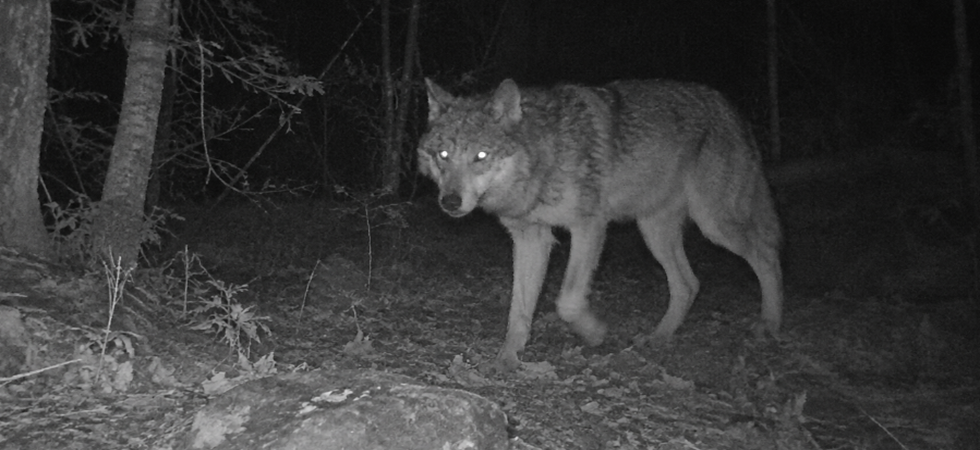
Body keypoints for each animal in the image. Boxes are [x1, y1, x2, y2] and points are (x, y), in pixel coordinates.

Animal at [418, 78, 783, 372]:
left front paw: (596, 333)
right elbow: (518, 310)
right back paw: (658, 337)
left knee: (767, 255)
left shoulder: (589, 227)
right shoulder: (531, 238)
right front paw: (506, 359)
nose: (450, 202)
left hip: (715, 224)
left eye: (480, 156)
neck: (545, 158)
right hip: (654, 232)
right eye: (443, 155)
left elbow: (567, 302)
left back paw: (769, 324)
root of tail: (729, 107)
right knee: (689, 284)